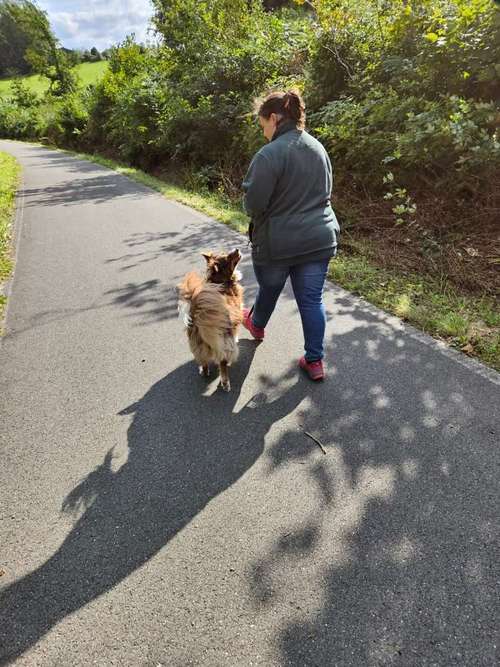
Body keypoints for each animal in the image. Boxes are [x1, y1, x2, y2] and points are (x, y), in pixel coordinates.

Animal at [178, 248, 244, 392]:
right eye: (228, 257)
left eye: (225, 253)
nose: (237, 249)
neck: (220, 281)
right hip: (222, 341)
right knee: (222, 363)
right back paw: (225, 382)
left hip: (199, 344)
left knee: (203, 359)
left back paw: (205, 371)